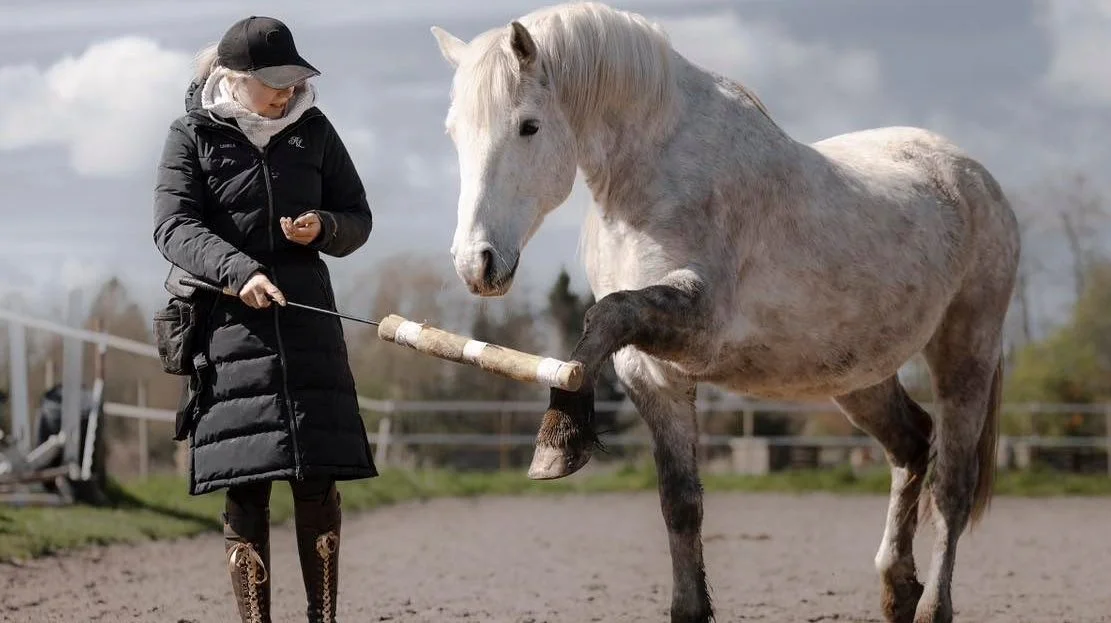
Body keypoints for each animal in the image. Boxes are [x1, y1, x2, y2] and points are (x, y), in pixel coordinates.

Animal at [428, 2, 1017, 617]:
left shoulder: (700, 324)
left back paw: (931, 608)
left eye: (528, 125)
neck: (653, 175)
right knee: (911, 445)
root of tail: (976, 179)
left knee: (952, 486)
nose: (476, 263)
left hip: (966, 353)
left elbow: (604, 318)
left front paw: (558, 442)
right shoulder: (651, 373)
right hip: (859, 375)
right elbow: (680, 502)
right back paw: (899, 590)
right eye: (454, 133)